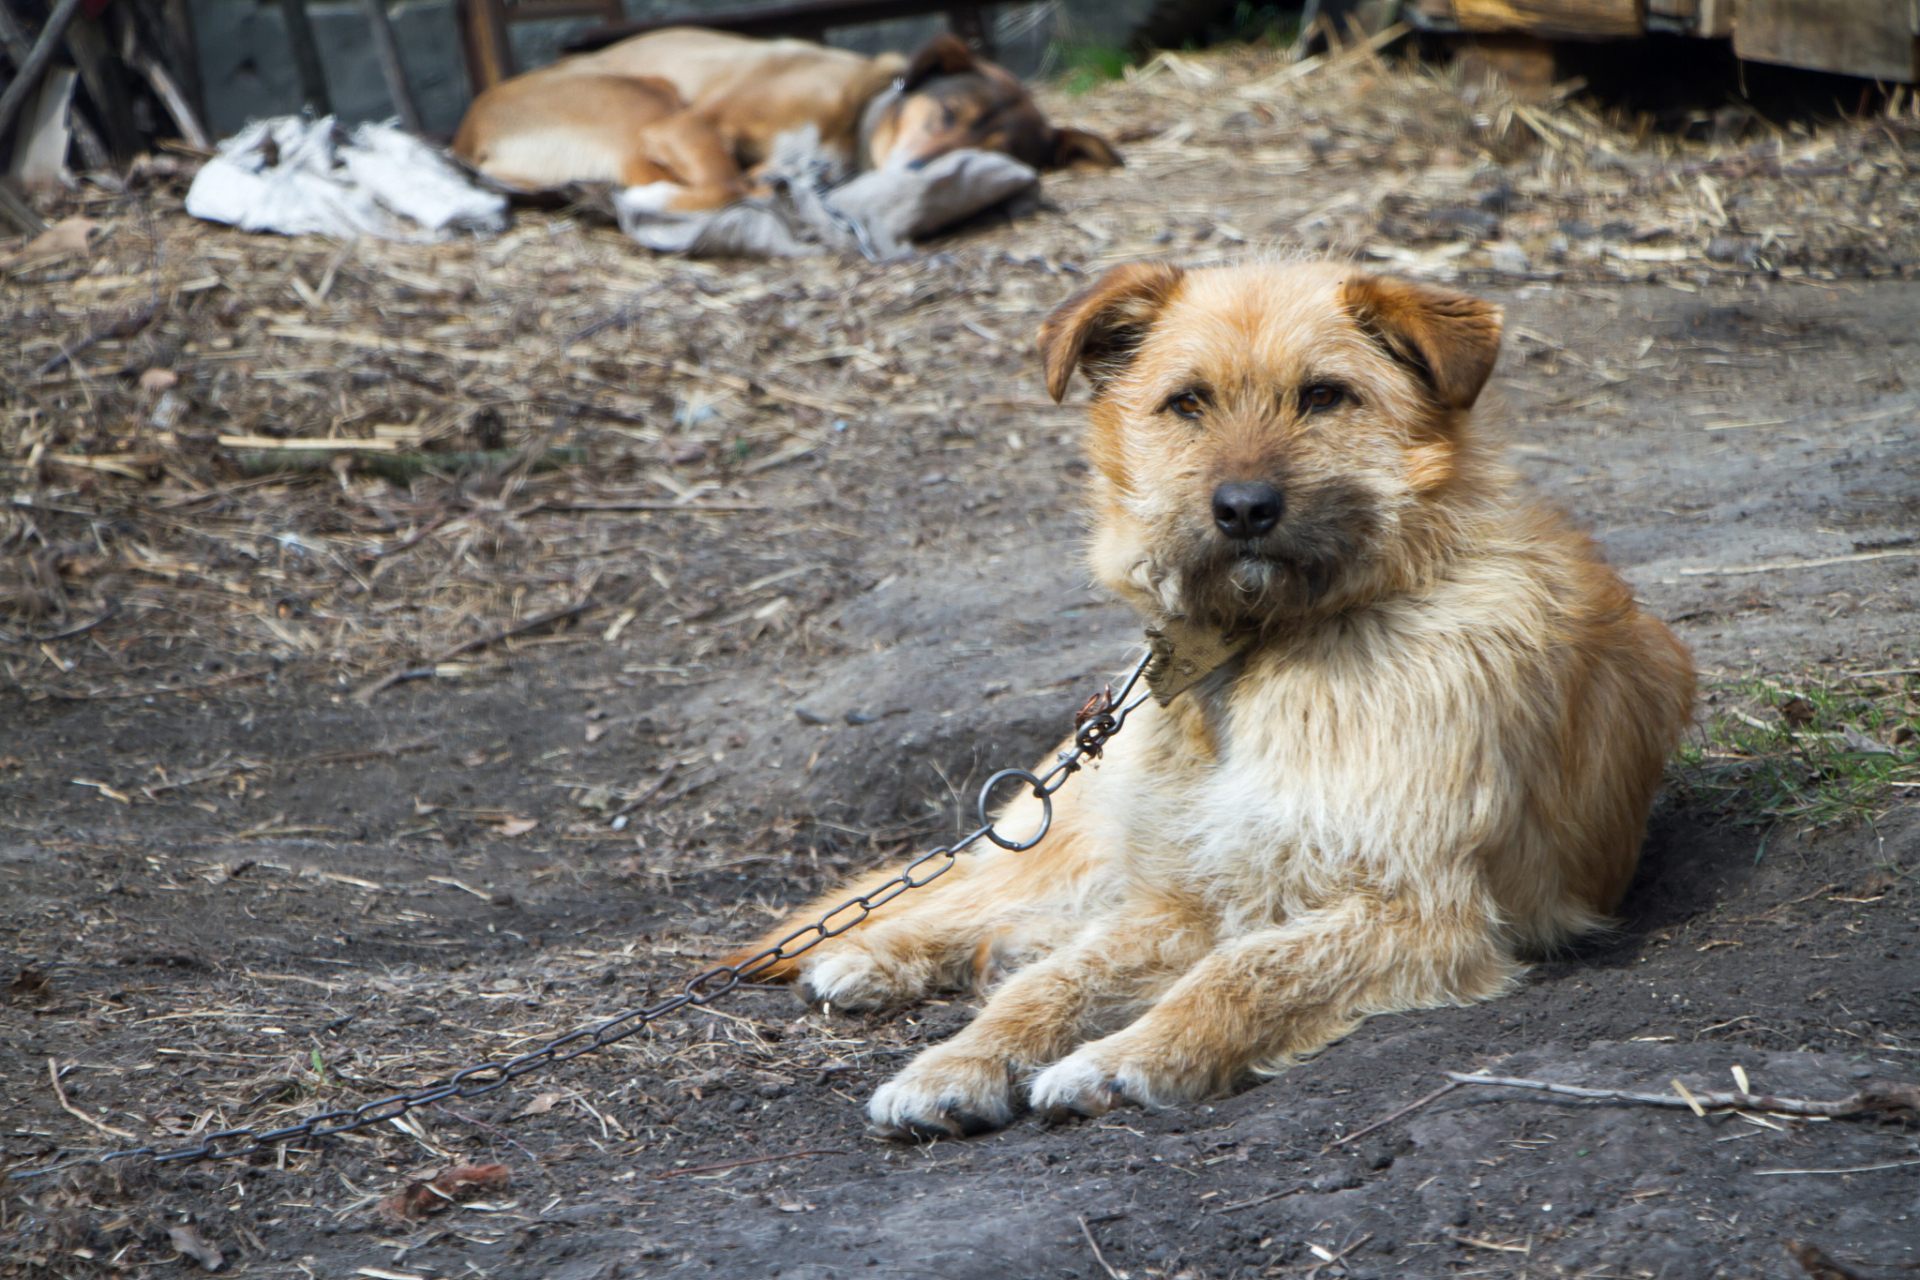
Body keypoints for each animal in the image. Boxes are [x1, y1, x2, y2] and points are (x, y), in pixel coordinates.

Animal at [451, 30, 1121, 213]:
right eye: (948, 112)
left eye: (999, 153)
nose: (921, 173)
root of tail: (467, 134)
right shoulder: (685, 128)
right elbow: (722, 179)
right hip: (646, 99)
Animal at [721, 262, 1697, 1143]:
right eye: (1187, 403)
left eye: (1324, 396)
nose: (1244, 509)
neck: (1271, 647)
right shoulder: (1179, 901)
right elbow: (1056, 984)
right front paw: (959, 1062)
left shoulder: (1416, 910)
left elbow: (1240, 974)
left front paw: (1125, 1059)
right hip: (1082, 830)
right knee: (991, 900)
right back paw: (876, 954)